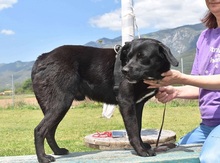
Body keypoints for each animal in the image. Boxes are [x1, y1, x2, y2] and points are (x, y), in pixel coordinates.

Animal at [31, 37, 179, 162]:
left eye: (142, 57)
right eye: (128, 57)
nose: (124, 71)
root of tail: (42, 57)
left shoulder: (137, 105)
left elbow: (138, 128)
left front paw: (143, 146)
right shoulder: (126, 102)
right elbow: (132, 130)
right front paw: (141, 151)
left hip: (56, 106)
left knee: (49, 131)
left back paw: (58, 151)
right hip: (61, 103)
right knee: (40, 129)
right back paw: (43, 158)